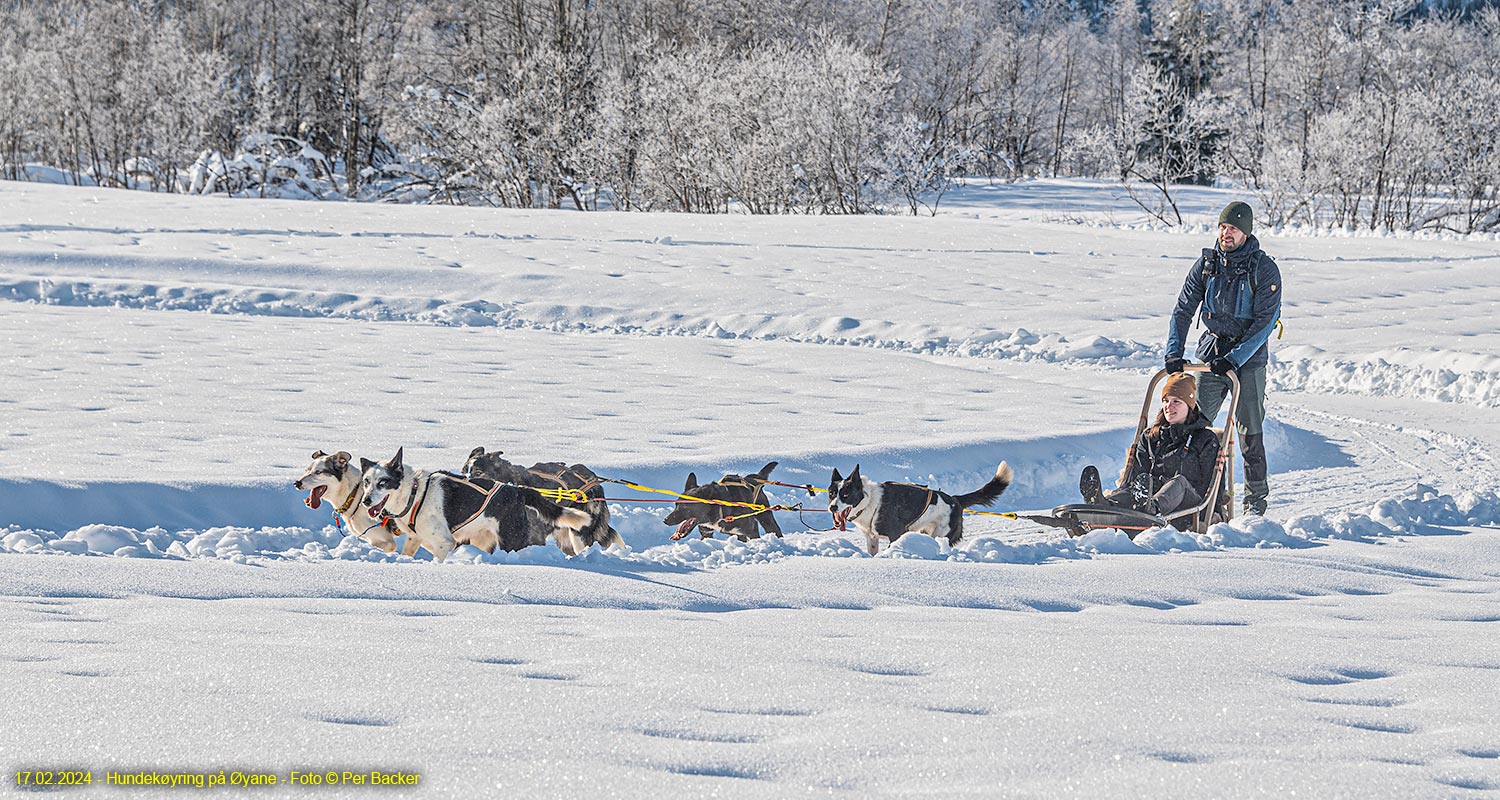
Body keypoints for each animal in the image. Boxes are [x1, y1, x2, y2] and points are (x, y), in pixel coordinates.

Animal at [360, 444, 588, 561]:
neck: (415, 493)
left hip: (511, 541)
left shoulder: (445, 542)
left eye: (383, 482)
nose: (366, 500)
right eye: (366, 482)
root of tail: (517, 490)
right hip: (483, 540)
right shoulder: (414, 538)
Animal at [828, 462, 1014, 555]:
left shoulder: (897, 533)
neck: (869, 501)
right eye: (831, 493)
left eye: (845, 495)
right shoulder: (871, 538)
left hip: (942, 533)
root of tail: (955, 500)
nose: (832, 507)